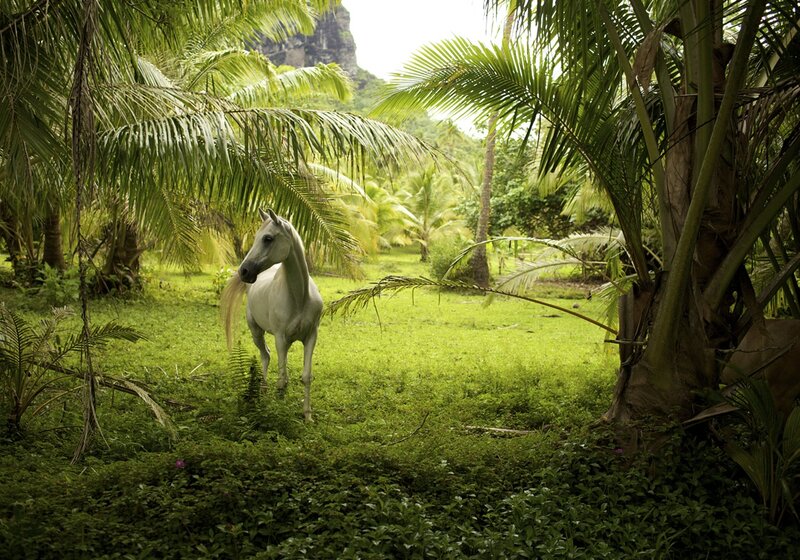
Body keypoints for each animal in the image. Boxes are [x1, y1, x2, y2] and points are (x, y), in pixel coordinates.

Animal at [220, 209, 323, 422]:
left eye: (268, 238)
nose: (244, 271)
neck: (300, 297)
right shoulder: (280, 338)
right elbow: (282, 379)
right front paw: (278, 412)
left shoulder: (311, 336)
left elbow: (305, 377)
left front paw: (307, 415)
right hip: (257, 333)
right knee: (265, 356)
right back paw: (263, 391)